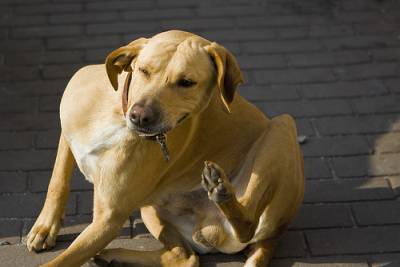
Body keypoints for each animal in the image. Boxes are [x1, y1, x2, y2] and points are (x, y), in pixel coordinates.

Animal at [26, 30, 304, 266]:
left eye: (186, 82)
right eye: (143, 71)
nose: (140, 116)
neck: (118, 119)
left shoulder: (108, 219)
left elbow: (61, 261)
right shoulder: (67, 137)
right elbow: (57, 182)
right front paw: (45, 228)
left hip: (283, 126)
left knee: (247, 224)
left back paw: (220, 189)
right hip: (151, 208)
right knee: (184, 256)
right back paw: (112, 256)